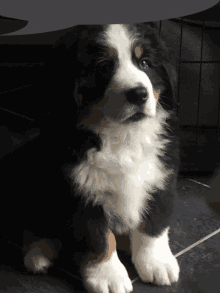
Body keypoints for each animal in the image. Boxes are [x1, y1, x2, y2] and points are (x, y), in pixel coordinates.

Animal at [0, 23, 180, 292]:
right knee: (32, 224)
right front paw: (110, 276)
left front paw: (157, 264)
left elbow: (153, 226)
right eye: (104, 67)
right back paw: (39, 254)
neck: (122, 135)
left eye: (145, 63)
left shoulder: (160, 176)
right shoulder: (81, 191)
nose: (139, 94)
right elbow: (100, 239)